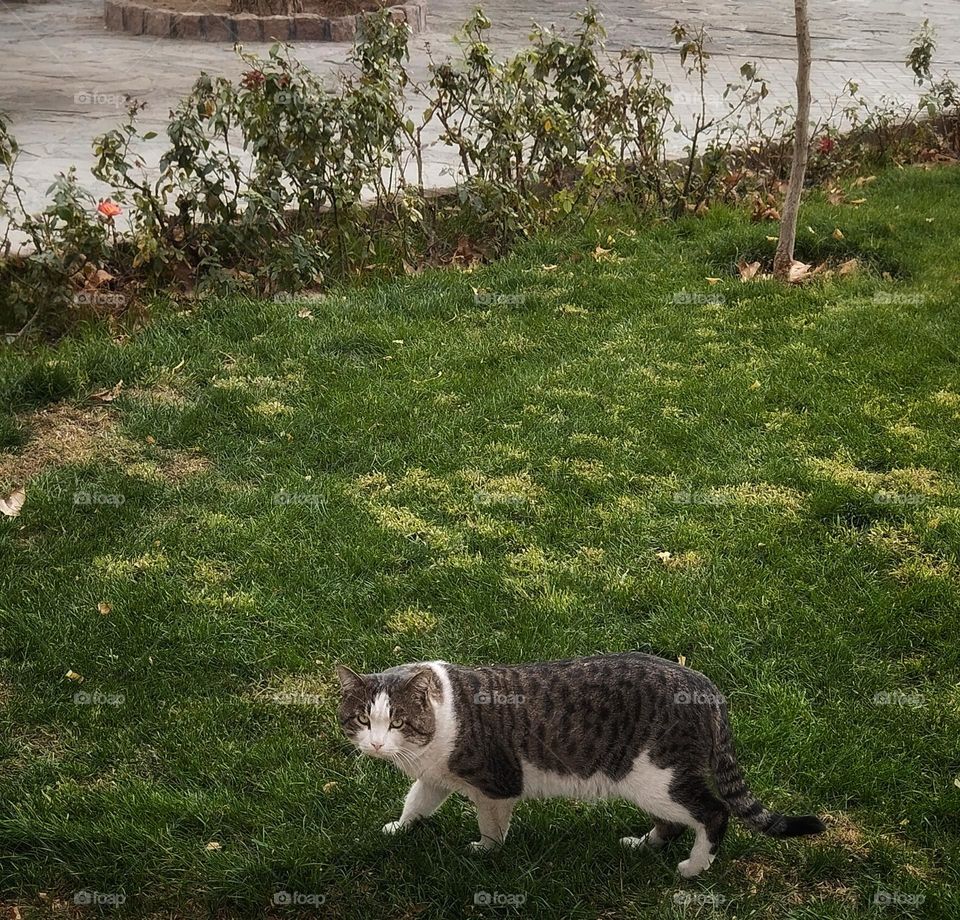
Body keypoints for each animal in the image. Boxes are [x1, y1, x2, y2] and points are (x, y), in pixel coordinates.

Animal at [334, 652, 820, 872]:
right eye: (363, 719)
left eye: (397, 721)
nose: (375, 745)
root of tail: (703, 683)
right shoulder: (435, 777)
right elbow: (416, 803)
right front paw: (399, 828)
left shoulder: (496, 786)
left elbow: (491, 827)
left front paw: (486, 853)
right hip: (651, 786)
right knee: (675, 823)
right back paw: (642, 845)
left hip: (655, 778)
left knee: (714, 812)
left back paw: (693, 868)